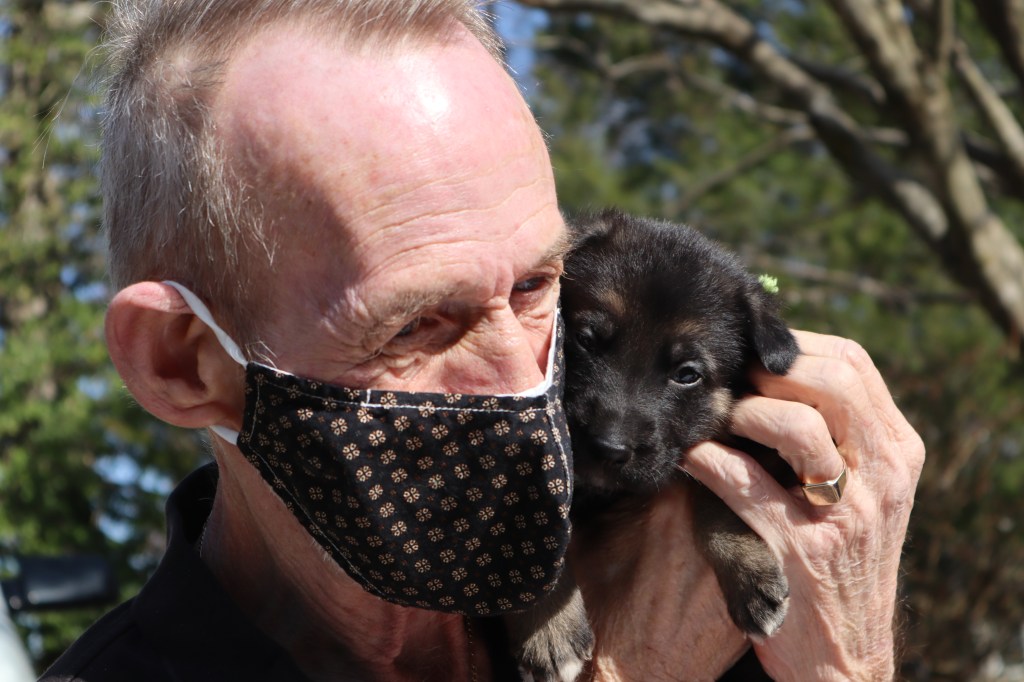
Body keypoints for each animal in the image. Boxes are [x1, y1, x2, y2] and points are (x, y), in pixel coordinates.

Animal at [504, 209, 800, 681]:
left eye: (687, 374)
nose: (607, 448)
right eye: (585, 338)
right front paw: (549, 633)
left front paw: (750, 576)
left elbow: (714, 493)